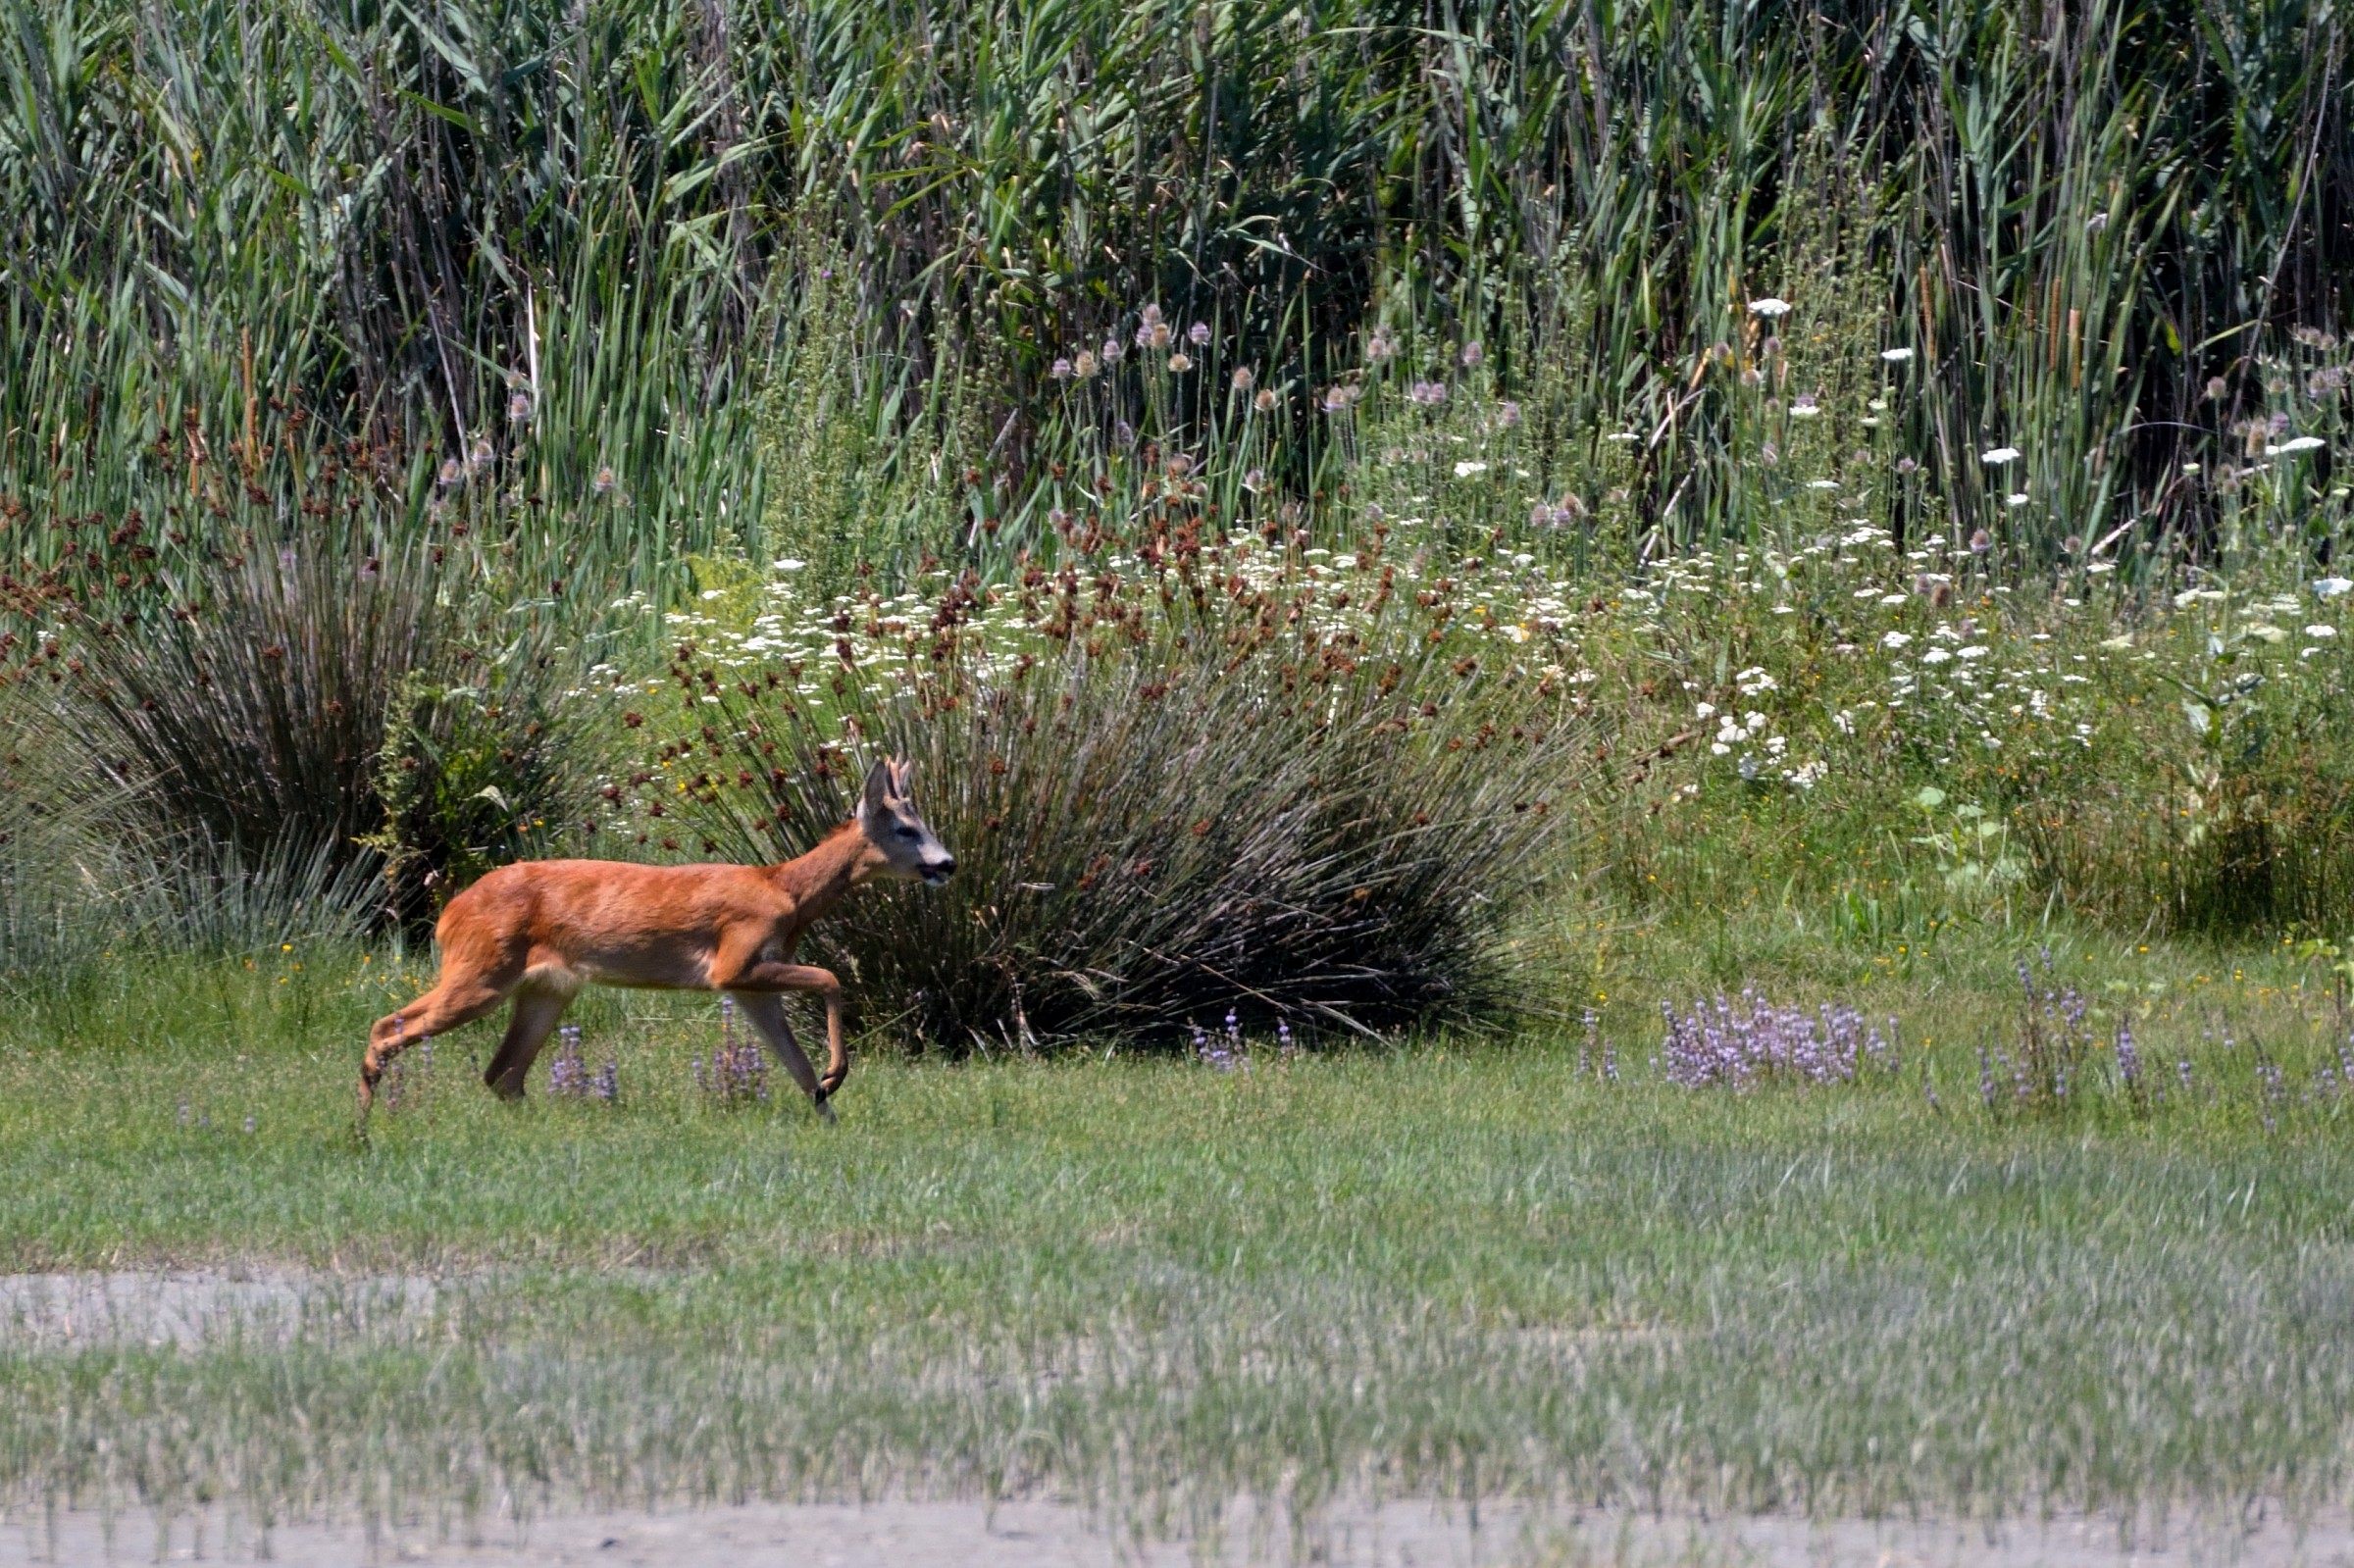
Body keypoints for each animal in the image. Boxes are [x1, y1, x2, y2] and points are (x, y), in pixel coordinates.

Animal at [358, 757, 953, 1123]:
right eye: (906, 829)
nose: (947, 863)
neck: (786, 891)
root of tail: (449, 912)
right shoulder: (734, 961)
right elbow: (830, 977)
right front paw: (837, 1075)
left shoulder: (748, 987)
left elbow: (796, 1063)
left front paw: (827, 1105)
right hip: (482, 968)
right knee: (389, 1027)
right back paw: (364, 1125)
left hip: (546, 988)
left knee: (503, 1073)